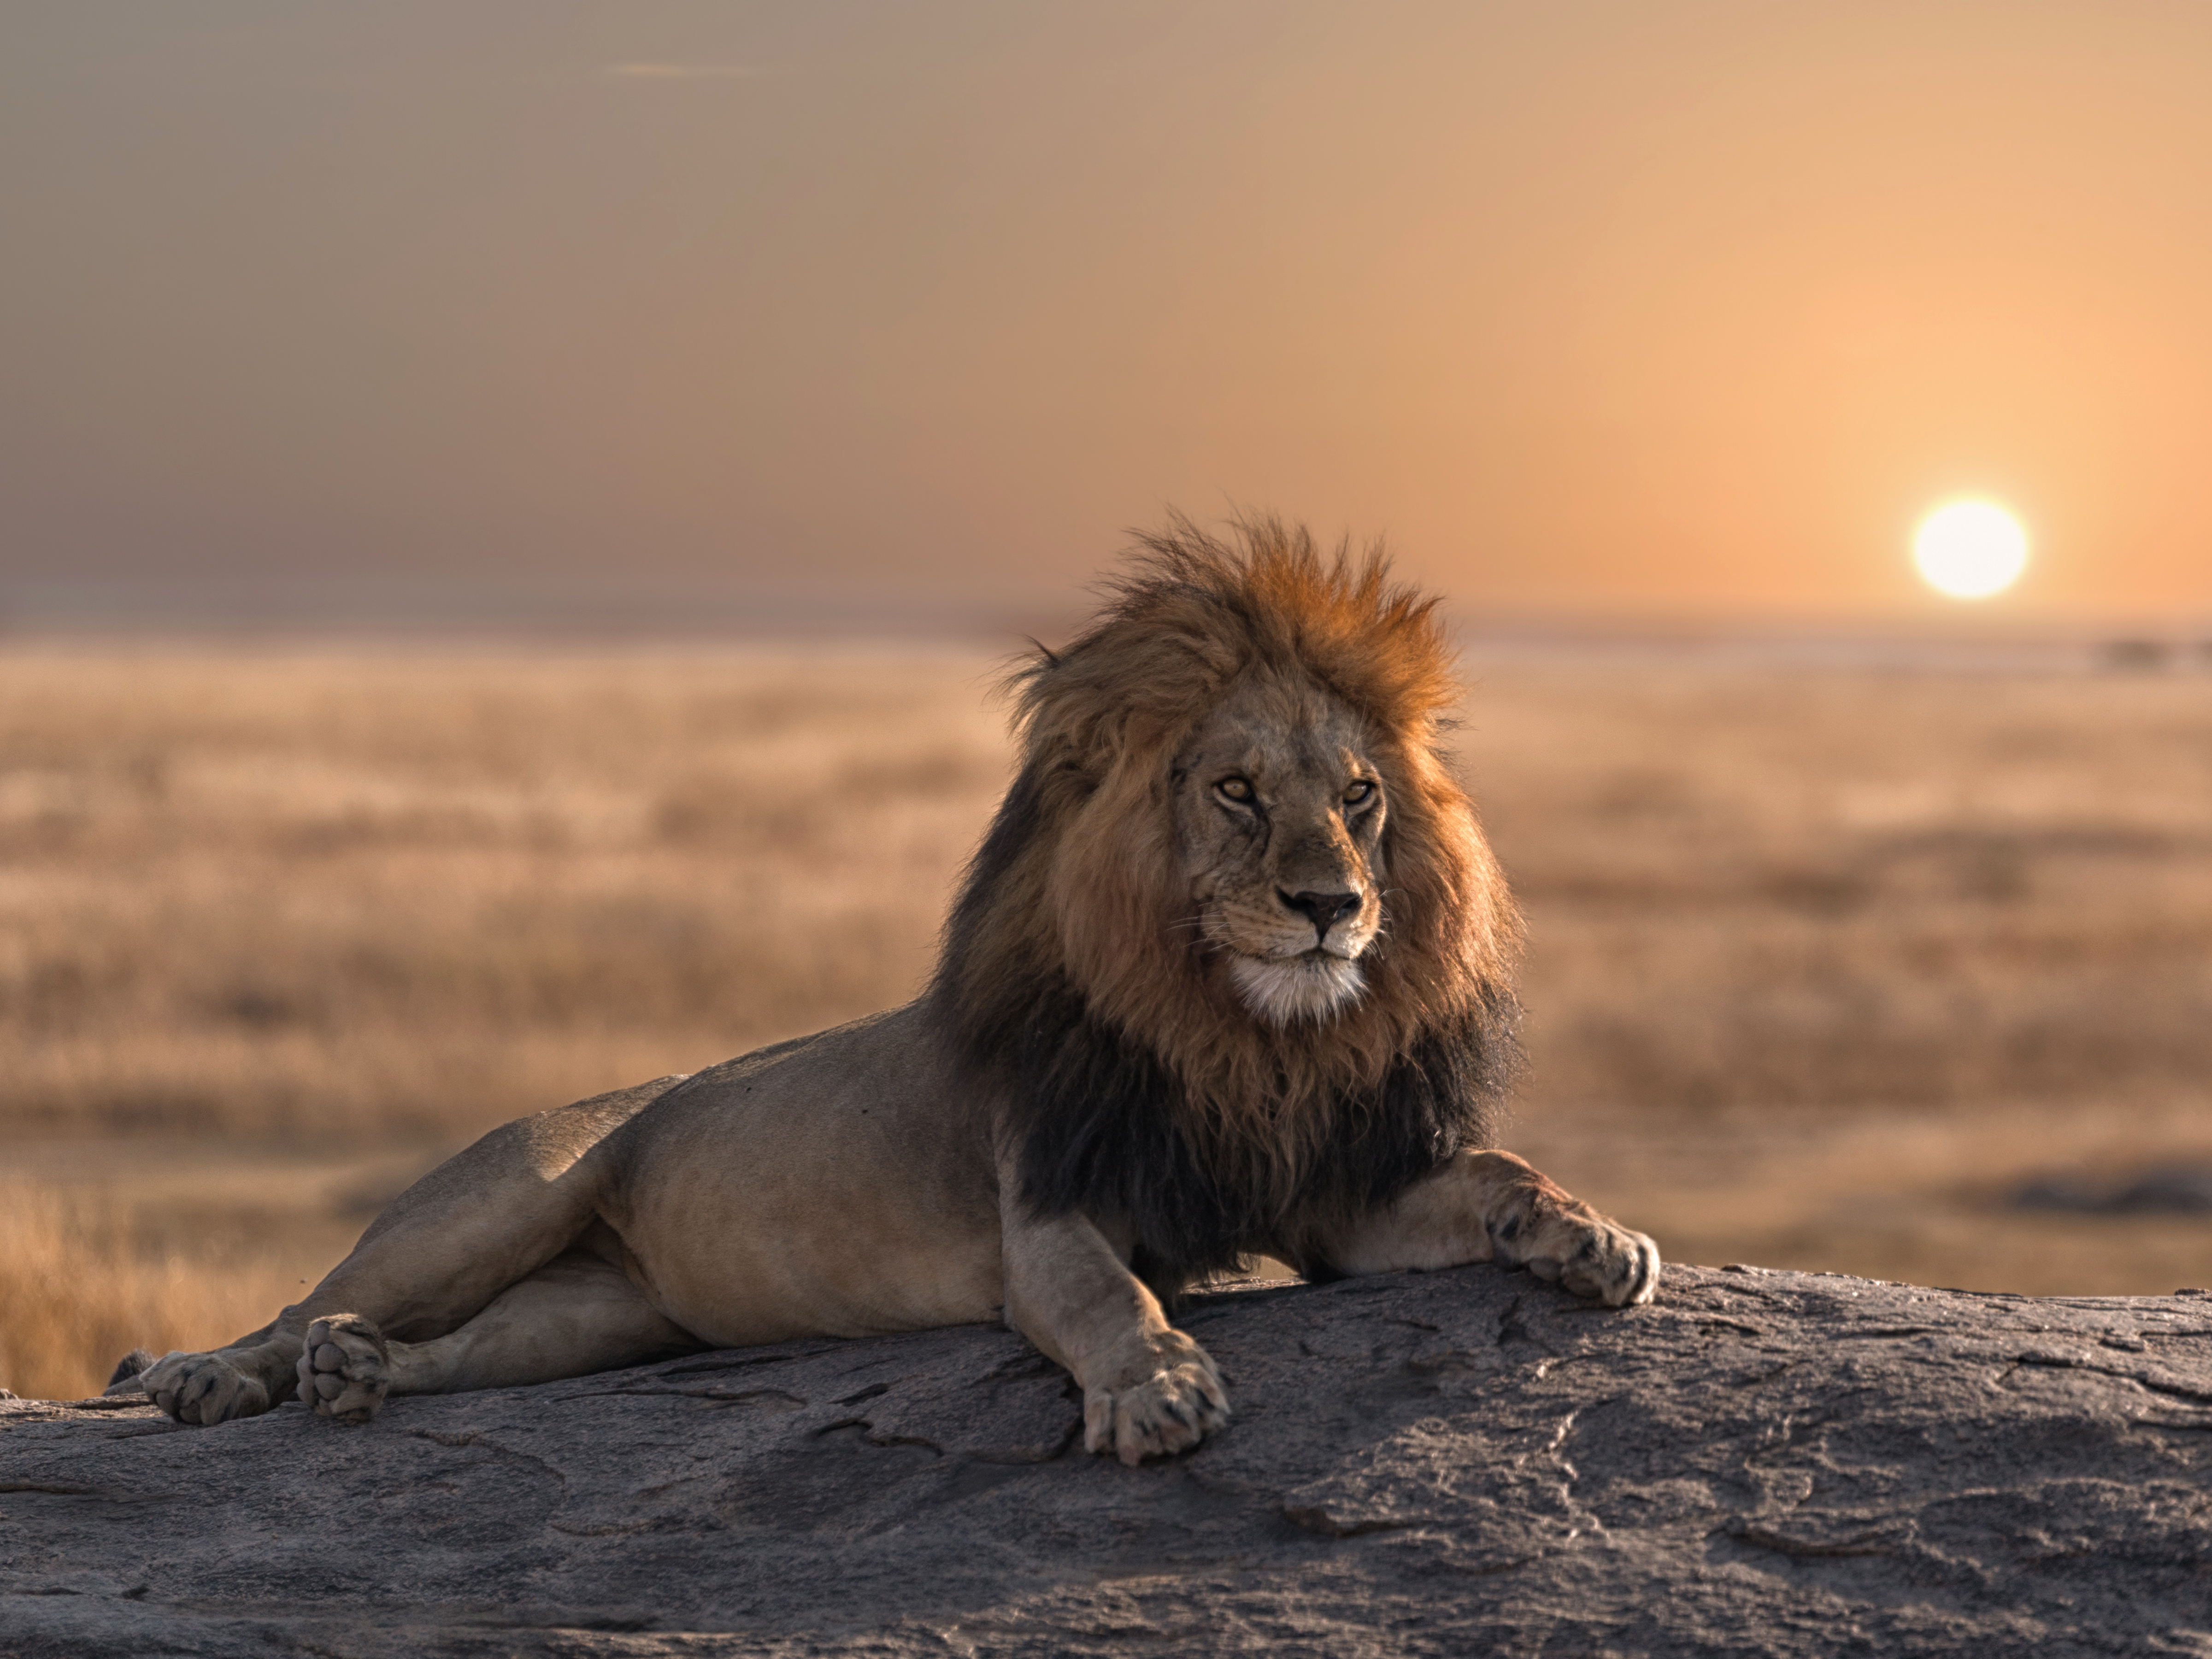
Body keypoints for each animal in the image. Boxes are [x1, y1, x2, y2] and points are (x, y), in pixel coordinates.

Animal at [124, 517, 1658, 1463]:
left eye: (1356, 797)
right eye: (1234, 791)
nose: (1332, 904)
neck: (1238, 1033)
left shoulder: (1330, 1193)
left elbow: (1496, 1172)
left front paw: (1593, 1234)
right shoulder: (1050, 1207)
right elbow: (1110, 1296)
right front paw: (1158, 1386)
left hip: (602, 1313)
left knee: (450, 1349)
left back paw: (360, 1377)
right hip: (498, 1196)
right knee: (311, 1299)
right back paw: (217, 1373)